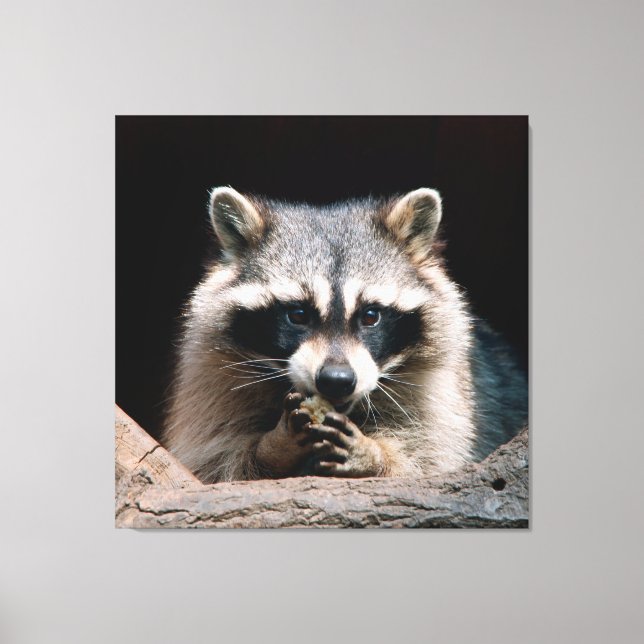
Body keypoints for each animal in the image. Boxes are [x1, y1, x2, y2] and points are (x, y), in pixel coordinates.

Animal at [163, 187, 528, 482]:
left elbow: (432, 461)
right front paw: (271, 447)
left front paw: (375, 455)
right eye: (298, 315)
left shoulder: (445, 392)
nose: (336, 380)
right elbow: (214, 461)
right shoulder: (213, 379)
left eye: (371, 316)